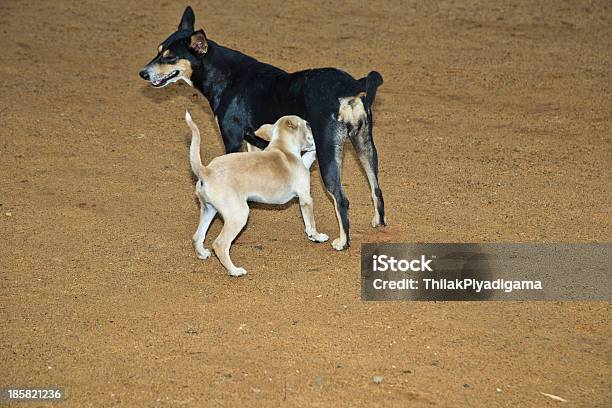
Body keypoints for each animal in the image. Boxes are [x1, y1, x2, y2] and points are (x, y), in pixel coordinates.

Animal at [141, 5, 384, 249]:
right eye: (158, 51)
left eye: (170, 57)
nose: (142, 73)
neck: (225, 75)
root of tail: (351, 86)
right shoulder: (253, 142)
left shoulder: (232, 139)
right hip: (365, 145)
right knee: (376, 189)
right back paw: (379, 223)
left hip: (328, 154)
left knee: (341, 199)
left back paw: (342, 241)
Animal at [185, 112, 330, 278]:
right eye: (306, 124)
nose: (312, 125)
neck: (283, 149)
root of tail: (206, 171)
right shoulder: (306, 198)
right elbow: (311, 222)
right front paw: (317, 236)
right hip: (239, 215)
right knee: (220, 244)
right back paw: (235, 271)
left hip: (209, 210)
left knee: (197, 236)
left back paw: (202, 254)